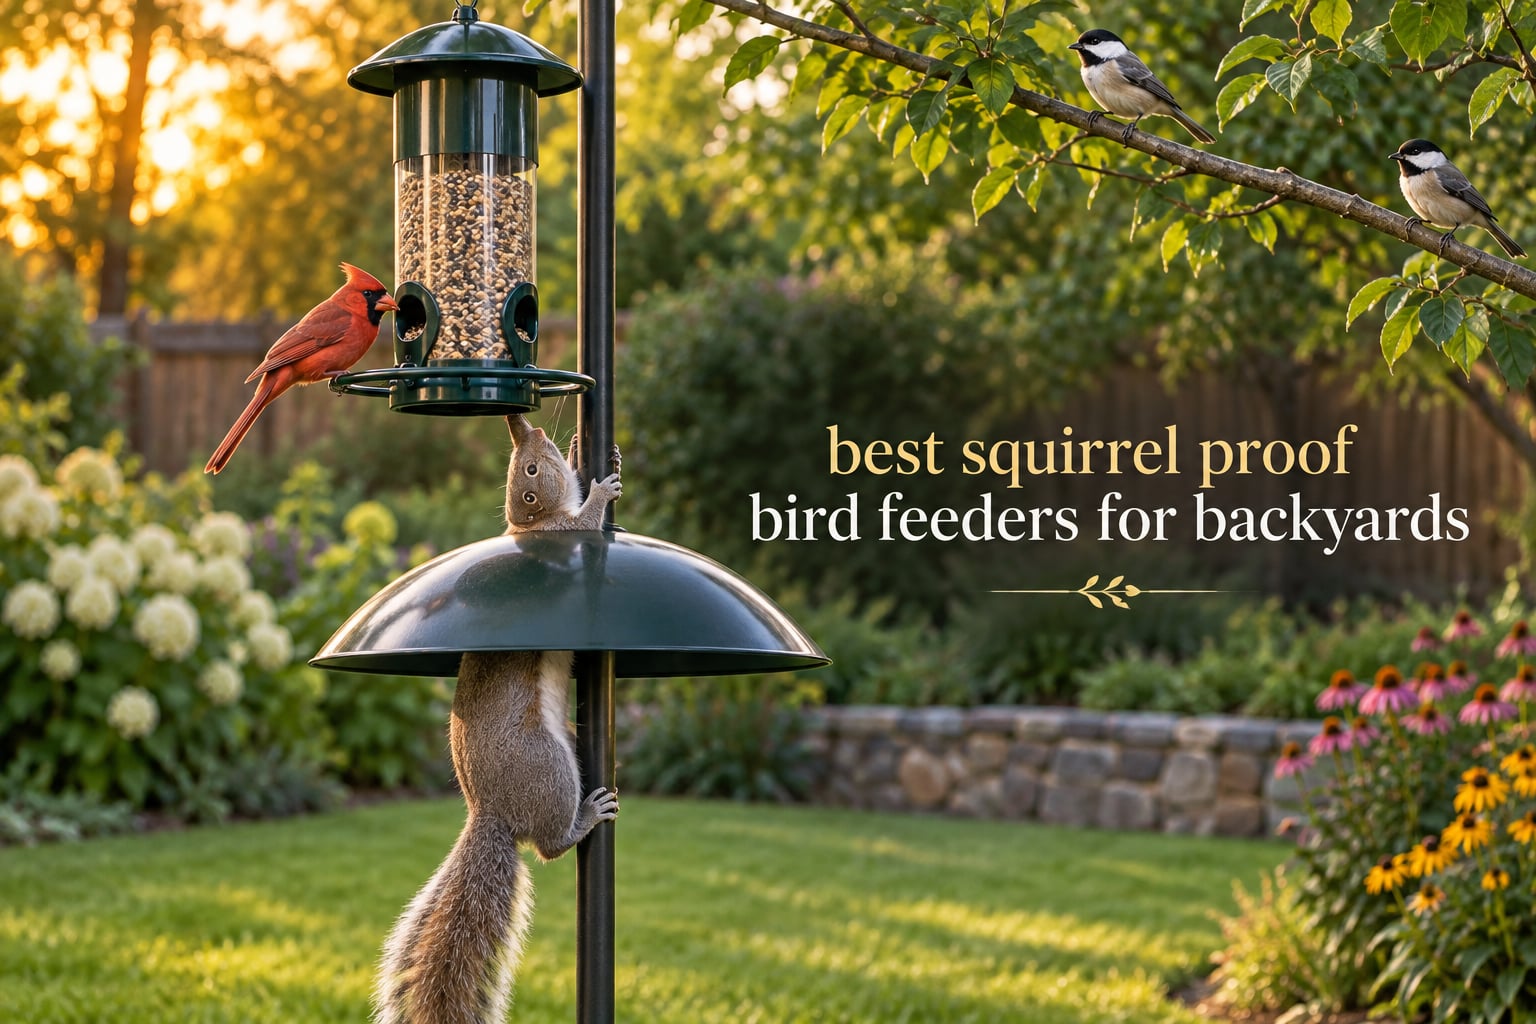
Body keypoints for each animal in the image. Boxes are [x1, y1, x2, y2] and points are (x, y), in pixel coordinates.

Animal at [375, 413, 623, 1024]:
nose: (523, 425)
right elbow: (585, 522)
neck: (533, 523)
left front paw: (585, 450)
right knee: (550, 846)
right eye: (529, 470)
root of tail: (491, 811)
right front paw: (600, 493)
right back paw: (586, 816)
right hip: (549, 768)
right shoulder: (565, 539)